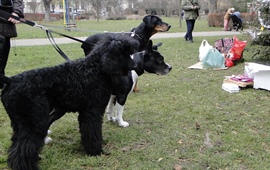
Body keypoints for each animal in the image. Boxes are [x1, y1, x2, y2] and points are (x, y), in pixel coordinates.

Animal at [0, 33, 139, 170]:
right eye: (123, 53)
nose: (135, 66)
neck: (96, 69)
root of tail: (10, 81)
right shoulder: (92, 112)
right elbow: (93, 131)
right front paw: (96, 151)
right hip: (33, 122)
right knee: (23, 148)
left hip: (20, 123)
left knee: (16, 145)